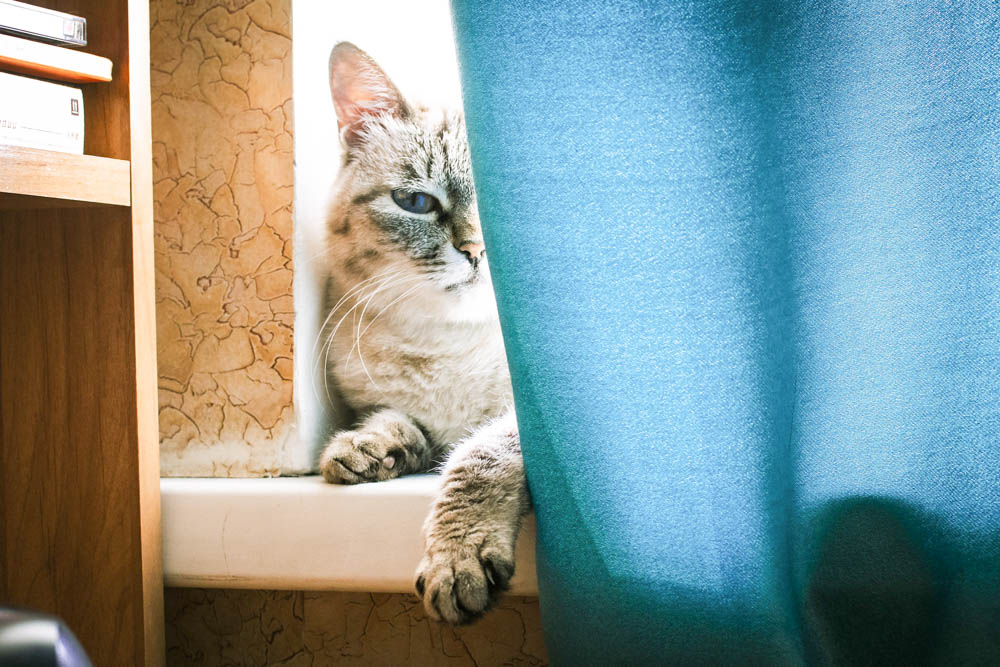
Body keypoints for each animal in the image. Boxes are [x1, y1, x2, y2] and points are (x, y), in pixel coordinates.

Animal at [318, 43, 532, 628]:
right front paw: (366, 450)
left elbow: (475, 458)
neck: (447, 346)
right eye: (416, 203)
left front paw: (455, 562)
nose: (478, 250)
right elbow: (397, 423)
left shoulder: (523, 422)